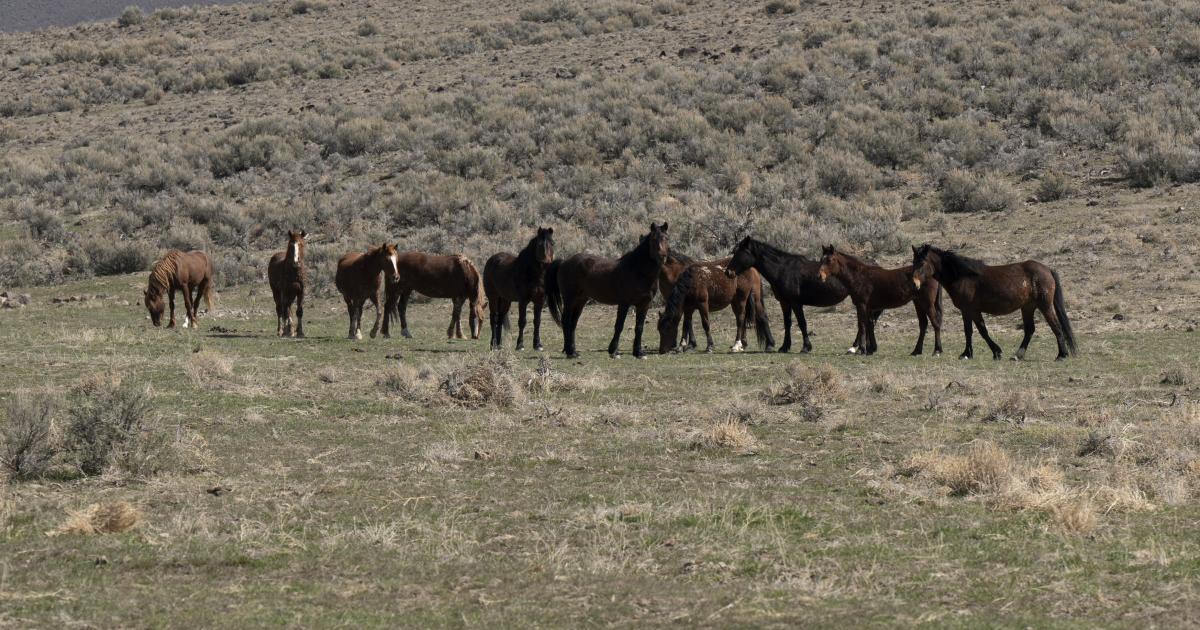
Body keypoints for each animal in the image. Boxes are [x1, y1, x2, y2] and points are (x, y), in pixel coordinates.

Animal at [547, 223, 669, 359]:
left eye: (667, 238)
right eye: (653, 239)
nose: (662, 256)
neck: (638, 271)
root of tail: (564, 262)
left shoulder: (644, 304)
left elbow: (639, 327)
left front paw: (638, 352)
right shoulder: (624, 303)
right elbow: (619, 326)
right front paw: (613, 351)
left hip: (580, 300)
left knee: (573, 324)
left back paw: (574, 351)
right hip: (570, 299)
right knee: (566, 321)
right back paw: (570, 352)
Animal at [725, 236, 869, 353]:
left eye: (739, 252)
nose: (728, 272)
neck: (783, 269)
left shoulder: (796, 303)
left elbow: (801, 323)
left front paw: (806, 347)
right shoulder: (784, 302)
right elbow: (787, 323)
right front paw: (784, 347)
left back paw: (854, 347)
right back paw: (854, 347)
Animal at [910, 245, 1077, 361]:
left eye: (922, 262)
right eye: (913, 262)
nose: (914, 284)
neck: (962, 276)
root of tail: (1048, 269)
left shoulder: (969, 310)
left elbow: (976, 331)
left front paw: (981, 353)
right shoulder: (970, 311)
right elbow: (976, 331)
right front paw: (973, 353)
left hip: (1044, 305)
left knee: (1056, 327)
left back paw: (1061, 355)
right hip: (1028, 307)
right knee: (1030, 330)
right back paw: (1017, 355)